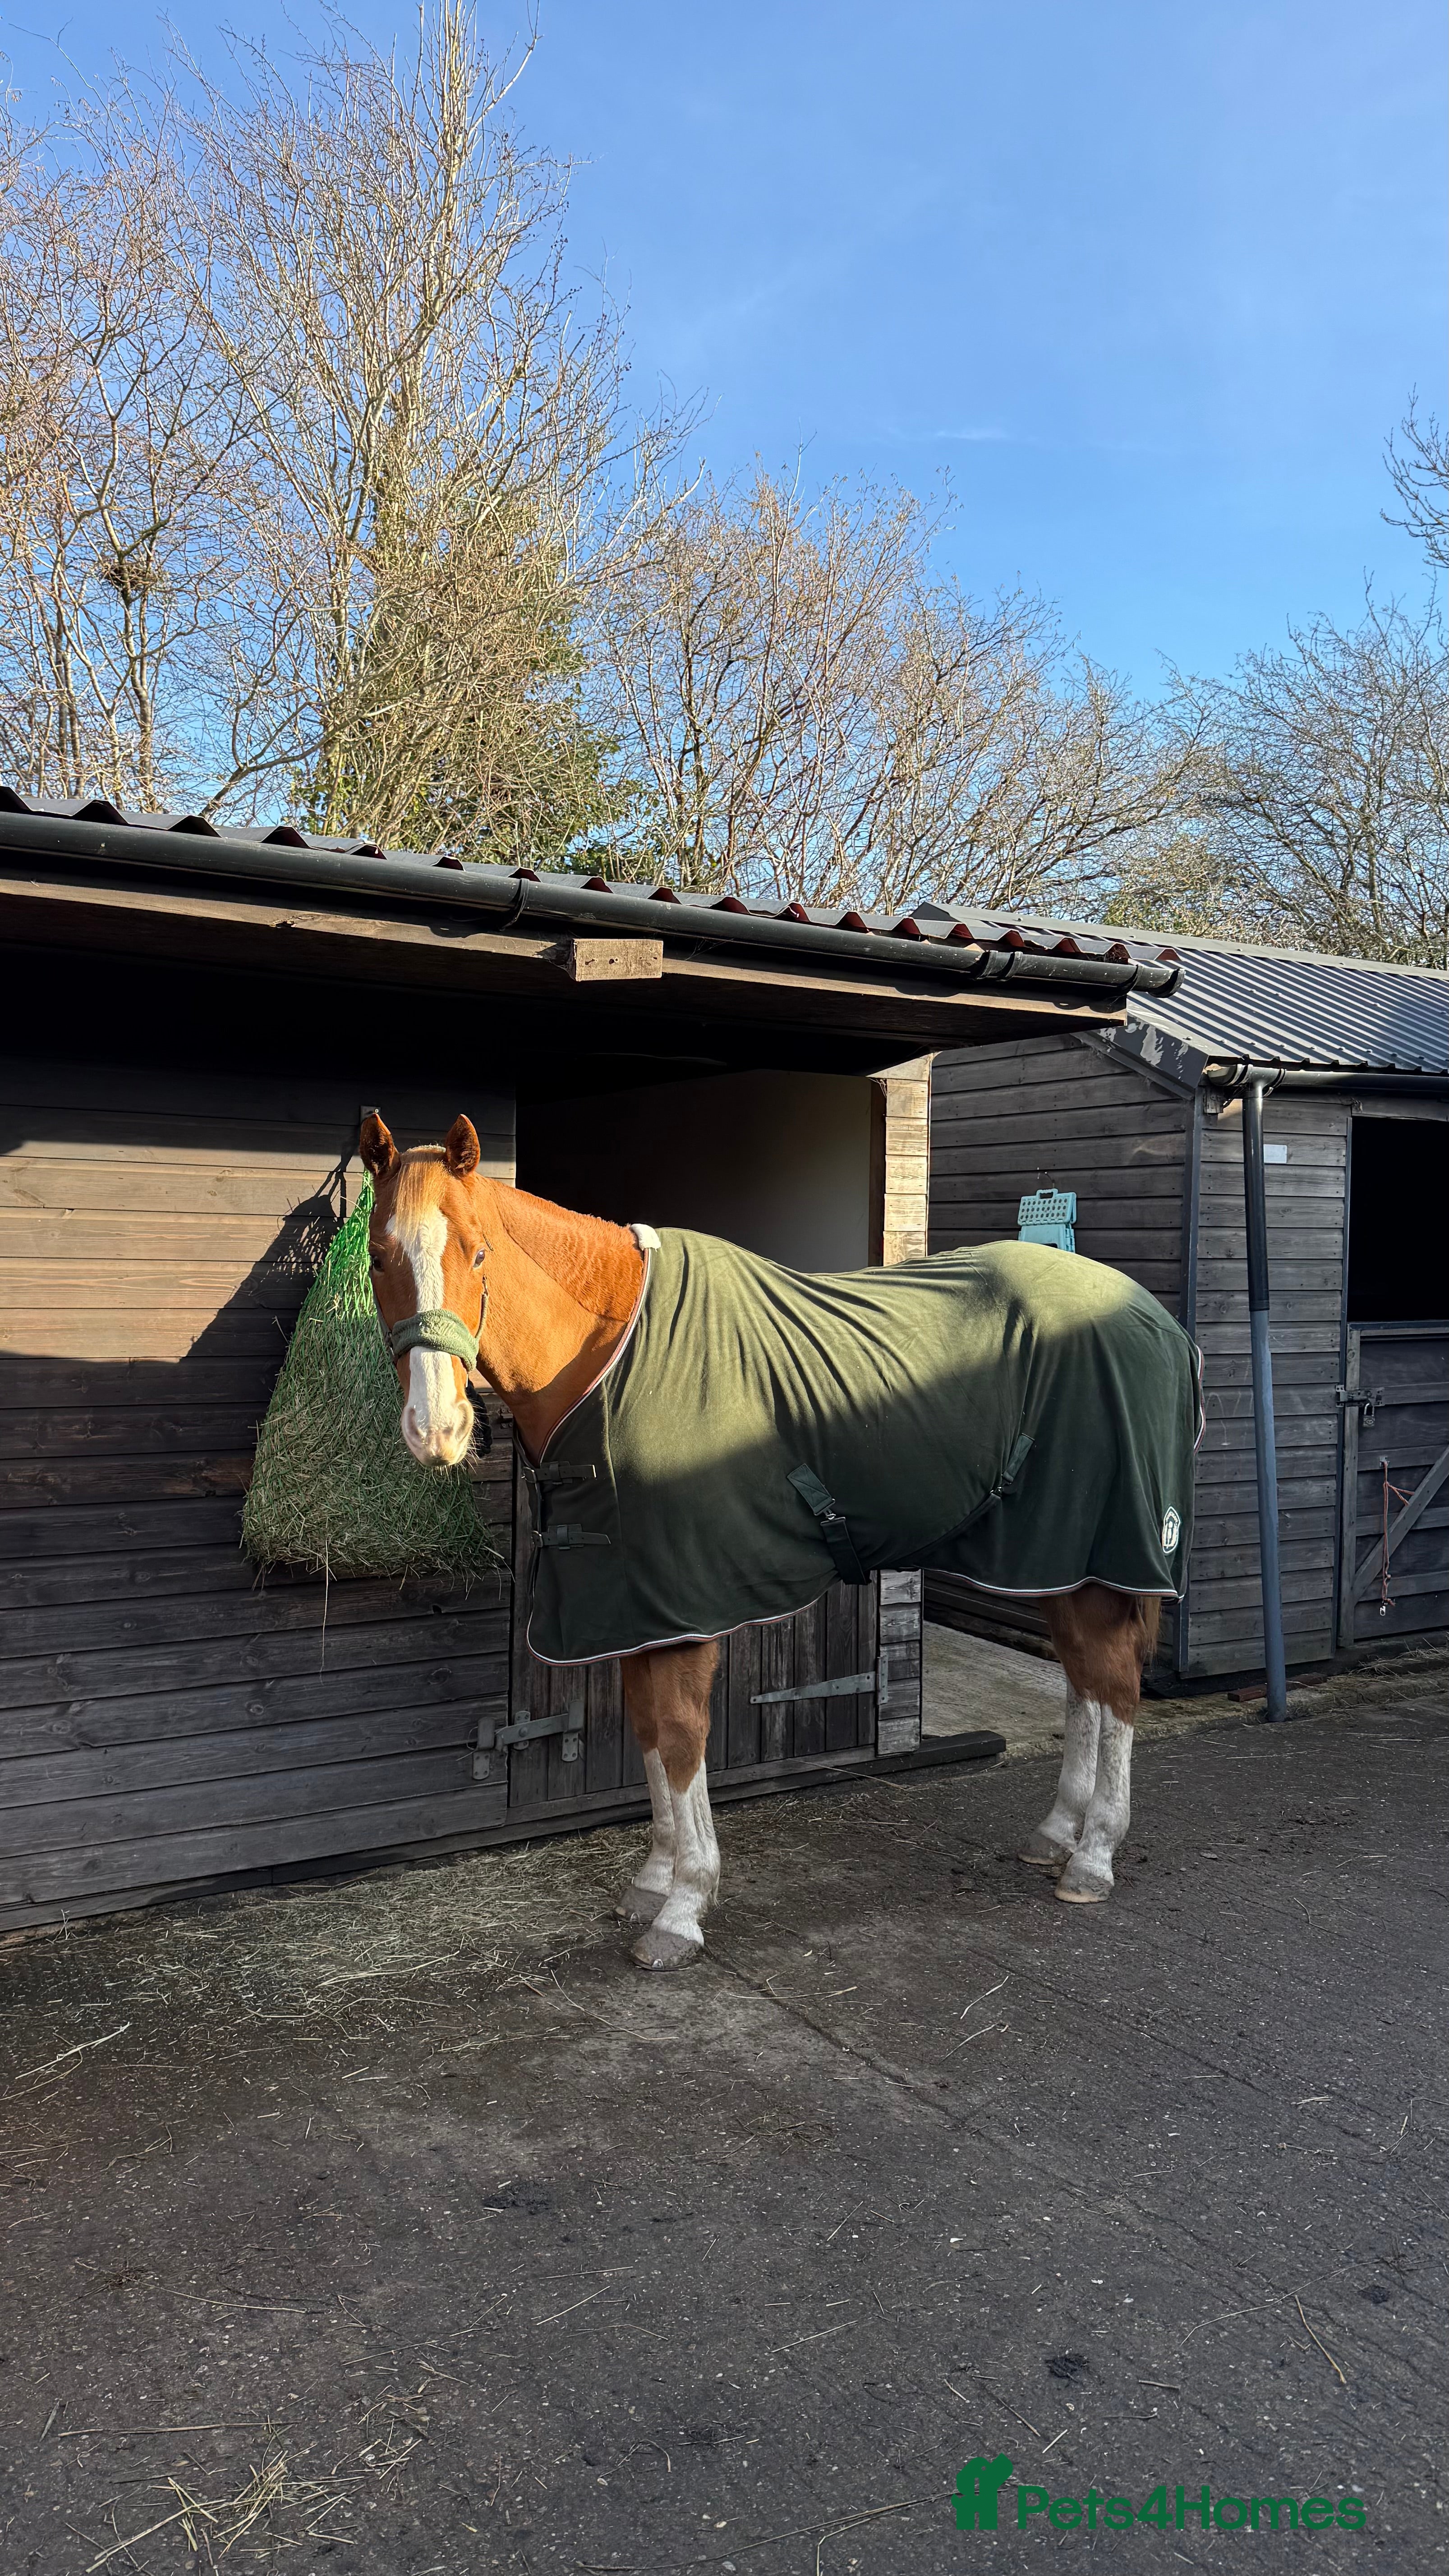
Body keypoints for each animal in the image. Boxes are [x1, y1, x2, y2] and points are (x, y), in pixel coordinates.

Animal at [361, 1111, 1189, 1969]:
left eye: (477, 1253)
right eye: (378, 1256)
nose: (436, 1430)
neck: (611, 1353)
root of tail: (1155, 1319)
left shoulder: (679, 1609)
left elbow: (681, 1737)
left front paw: (683, 1907)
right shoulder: (630, 1604)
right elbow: (648, 1732)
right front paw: (654, 1880)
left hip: (1101, 1554)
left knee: (1115, 1685)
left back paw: (1093, 1856)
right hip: (1057, 1560)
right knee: (1085, 1683)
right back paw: (1056, 1833)